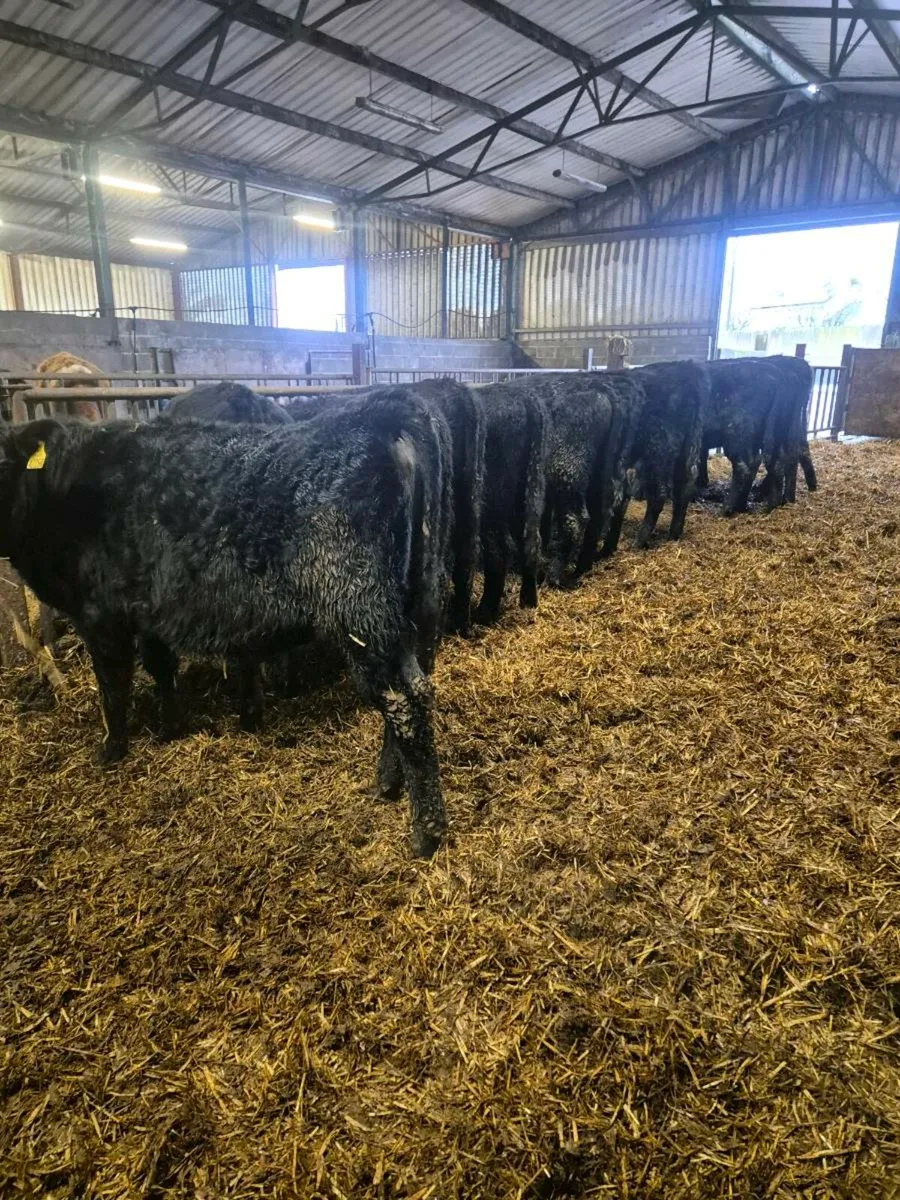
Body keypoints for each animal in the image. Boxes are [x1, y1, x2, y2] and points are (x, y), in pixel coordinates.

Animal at [0, 390, 452, 857]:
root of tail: (390, 408)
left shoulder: (99, 613)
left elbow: (112, 685)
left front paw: (110, 749)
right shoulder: (148, 608)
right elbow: (160, 666)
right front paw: (169, 726)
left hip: (360, 609)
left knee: (403, 697)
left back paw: (425, 832)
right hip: (418, 600)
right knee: (414, 685)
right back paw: (388, 783)